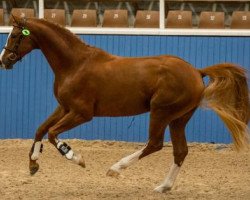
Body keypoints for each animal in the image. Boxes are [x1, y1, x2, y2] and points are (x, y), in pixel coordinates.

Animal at [0, 16, 249, 192]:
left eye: (14, 35)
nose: (3, 61)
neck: (75, 65)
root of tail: (197, 72)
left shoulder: (81, 113)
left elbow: (52, 133)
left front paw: (75, 157)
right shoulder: (64, 108)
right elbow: (40, 129)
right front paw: (33, 163)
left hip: (161, 112)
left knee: (155, 144)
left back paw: (115, 168)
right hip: (178, 118)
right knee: (180, 151)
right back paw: (163, 187)